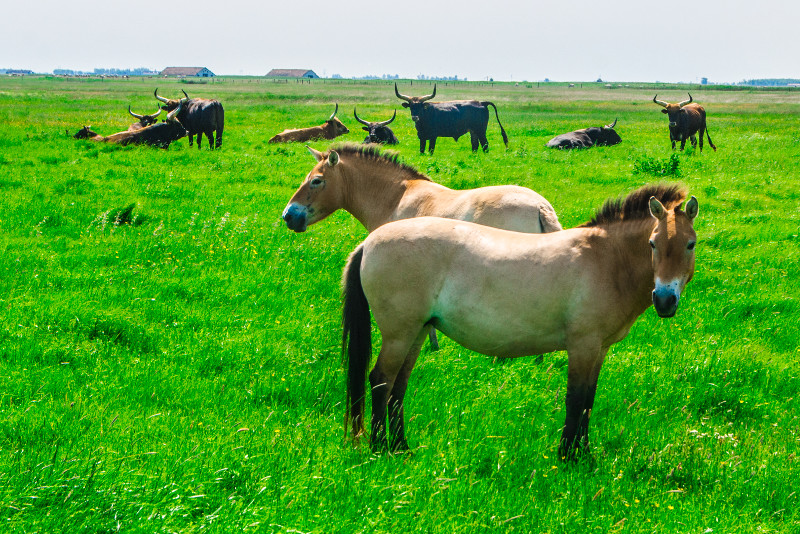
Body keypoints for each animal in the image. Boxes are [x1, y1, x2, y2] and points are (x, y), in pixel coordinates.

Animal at [340, 184, 696, 460]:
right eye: (653, 243)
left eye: (690, 244)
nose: (665, 300)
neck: (605, 259)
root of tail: (370, 242)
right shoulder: (582, 345)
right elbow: (575, 398)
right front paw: (568, 456)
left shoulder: (599, 349)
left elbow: (588, 401)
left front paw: (583, 453)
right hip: (399, 334)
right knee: (381, 380)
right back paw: (379, 447)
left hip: (416, 332)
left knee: (398, 386)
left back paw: (401, 446)